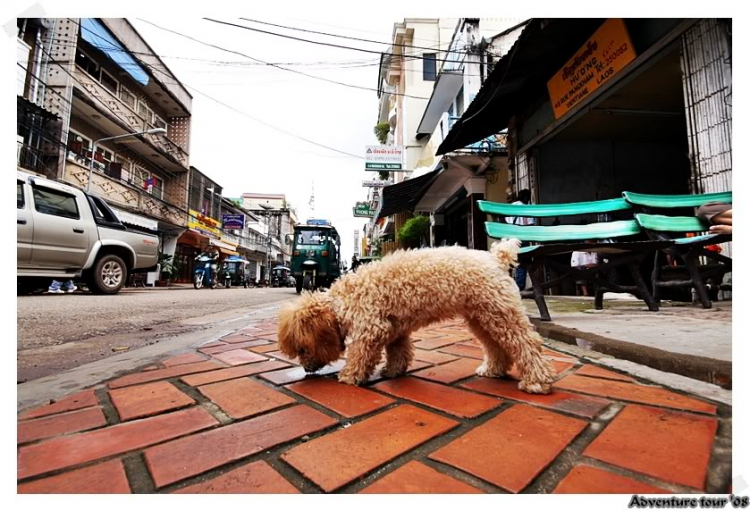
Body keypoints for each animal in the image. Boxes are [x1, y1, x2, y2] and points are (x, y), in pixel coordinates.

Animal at [280, 241, 556, 396]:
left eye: (303, 348)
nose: (306, 370)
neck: (342, 299)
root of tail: (495, 259)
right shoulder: (394, 328)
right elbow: (398, 351)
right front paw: (393, 371)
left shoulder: (371, 325)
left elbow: (360, 353)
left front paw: (350, 376)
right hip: (482, 316)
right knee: (495, 345)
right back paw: (493, 370)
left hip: (500, 313)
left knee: (527, 344)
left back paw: (537, 382)